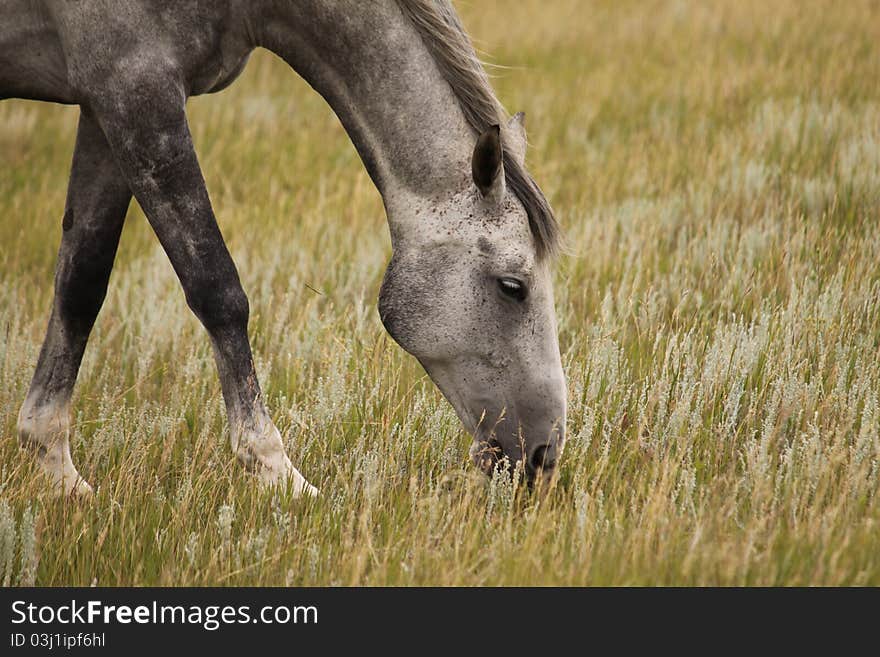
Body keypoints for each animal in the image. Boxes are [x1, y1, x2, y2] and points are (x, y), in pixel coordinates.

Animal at [1, 0, 564, 494]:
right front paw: (277, 473)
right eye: (512, 286)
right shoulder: (137, 93)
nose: (545, 455)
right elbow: (217, 289)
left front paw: (56, 469)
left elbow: (81, 284)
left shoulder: (105, 109)